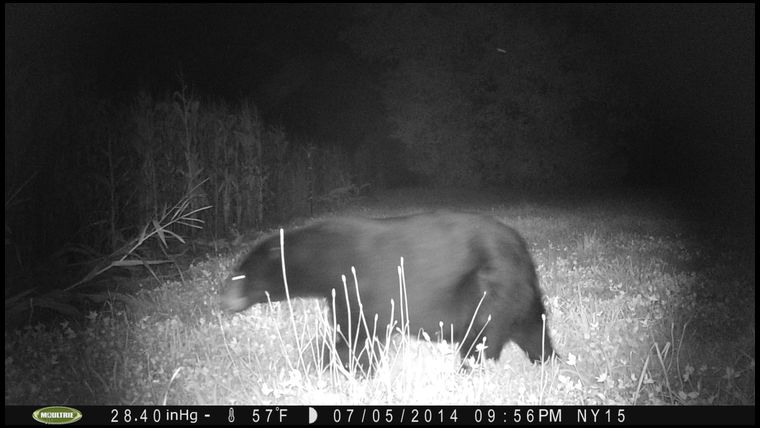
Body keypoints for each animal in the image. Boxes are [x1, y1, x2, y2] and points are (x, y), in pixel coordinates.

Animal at [220, 211, 552, 372]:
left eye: (240, 274)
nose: (224, 300)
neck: (326, 258)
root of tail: (524, 254)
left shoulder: (361, 286)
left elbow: (357, 336)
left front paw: (334, 364)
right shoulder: (341, 292)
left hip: (491, 290)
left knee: (482, 337)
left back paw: (467, 371)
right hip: (519, 298)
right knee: (533, 330)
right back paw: (548, 361)